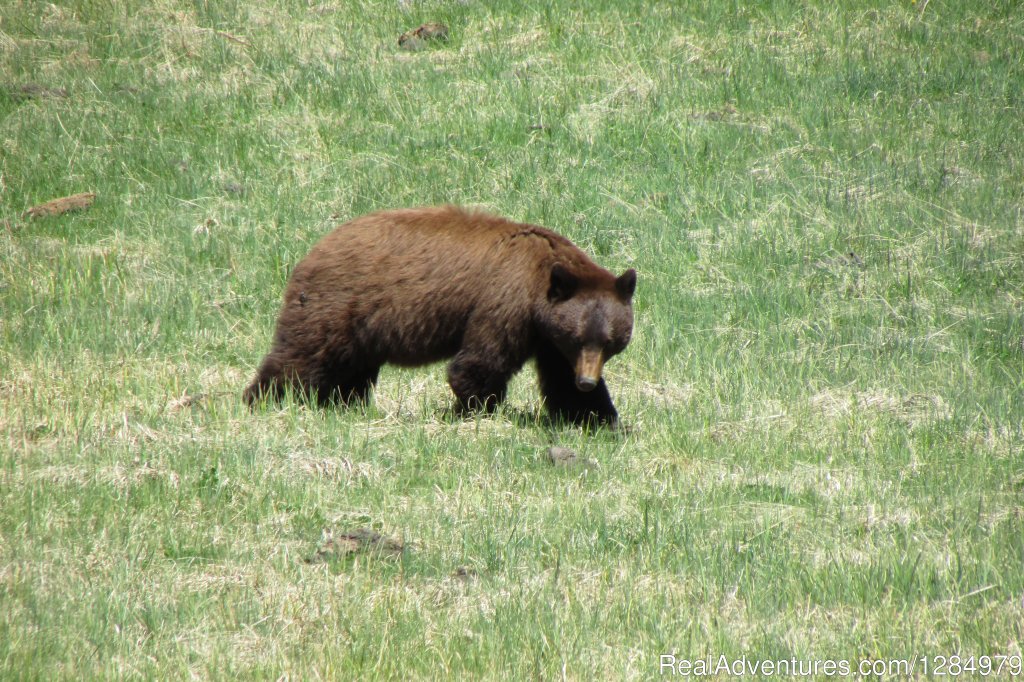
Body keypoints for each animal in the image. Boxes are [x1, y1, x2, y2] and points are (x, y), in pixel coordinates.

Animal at [243, 202, 634, 425]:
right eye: (579, 336)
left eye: (611, 341)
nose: (587, 380)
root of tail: (313, 250)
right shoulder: (507, 300)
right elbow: (480, 360)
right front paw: (476, 408)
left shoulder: (547, 336)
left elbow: (559, 377)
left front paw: (600, 417)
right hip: (336, 305)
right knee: (301, 355)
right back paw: (262, 399)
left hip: (359, 329)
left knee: (349, 369)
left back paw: (342, 405)